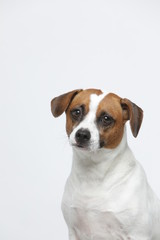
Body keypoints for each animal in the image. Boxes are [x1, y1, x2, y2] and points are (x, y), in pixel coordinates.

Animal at [50, 88, 160, 240]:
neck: (93, 173)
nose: (82, 134)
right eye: (76, 112)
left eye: (106, 118)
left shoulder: (138, 234)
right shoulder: (74, 231)